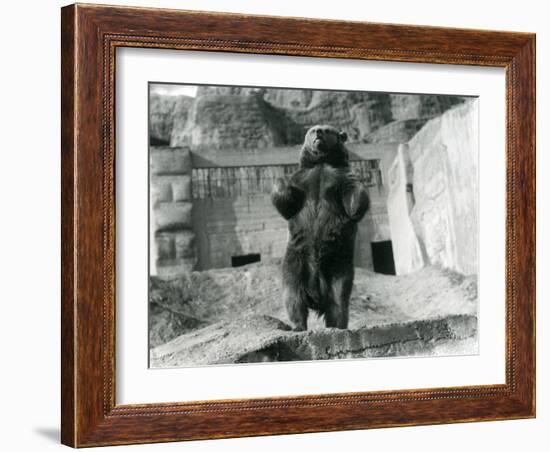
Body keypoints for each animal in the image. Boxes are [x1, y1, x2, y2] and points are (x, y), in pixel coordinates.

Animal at [272, 125, 370, 330]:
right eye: (312, 130)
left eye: (327, 130)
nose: (317, 132)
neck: (322, 162)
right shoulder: (302, 180)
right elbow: (287, 204)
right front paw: (280, 180)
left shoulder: (339, 178)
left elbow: (353, 199)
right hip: (296, 258)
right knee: (293, 295)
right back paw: (298, 325)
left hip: (338, 261)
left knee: (338, 297)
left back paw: (337, 325)